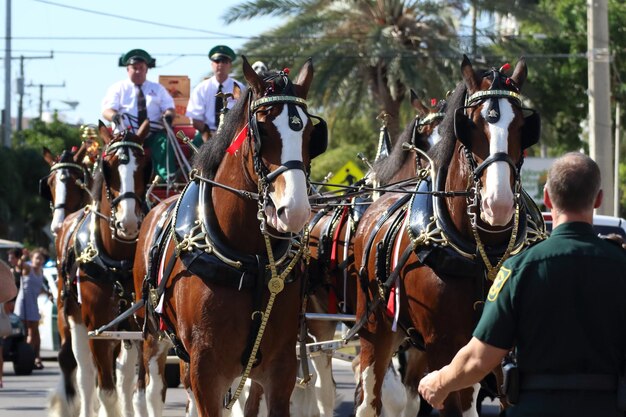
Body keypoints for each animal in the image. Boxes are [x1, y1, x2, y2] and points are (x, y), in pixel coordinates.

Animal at [48, 120, 152, 416]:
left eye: (144, 165)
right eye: (110, 166)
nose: (128, 222)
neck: (117, 261)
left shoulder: (138, 327)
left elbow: (134, 387)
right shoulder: (98, 328)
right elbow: (105, 391)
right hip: (73, 319)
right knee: (83, 374)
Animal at [132, 56, 326, 416]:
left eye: (311, 133)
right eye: (262, 129)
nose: (293, 210)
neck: (251, 260)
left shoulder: (281, 369)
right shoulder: (206, 371)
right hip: (153, 334)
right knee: (150, 387)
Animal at [348, 56, 544, 416]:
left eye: (522, 126)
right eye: (471, 125)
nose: (498, 204)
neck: (483, 254)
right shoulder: (441, 345)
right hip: (374, 326)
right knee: (369, 398)